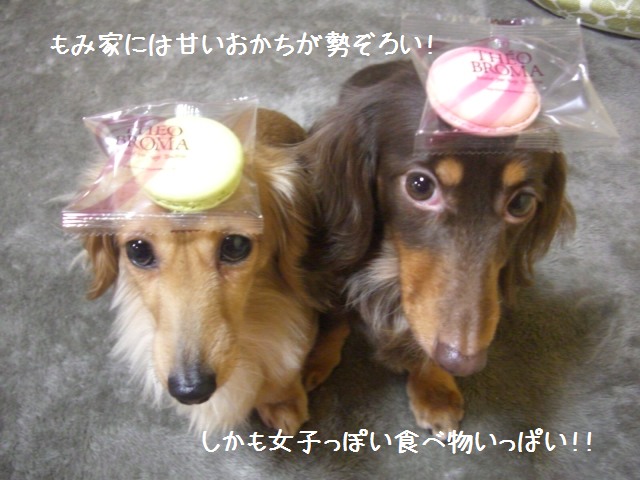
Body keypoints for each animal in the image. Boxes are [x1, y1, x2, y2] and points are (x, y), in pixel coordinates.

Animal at [299, 60, 575, 435]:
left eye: (521, 203)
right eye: (419, 185)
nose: (465, 362)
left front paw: (435, 388)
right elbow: (335, 316)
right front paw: (315, 359)